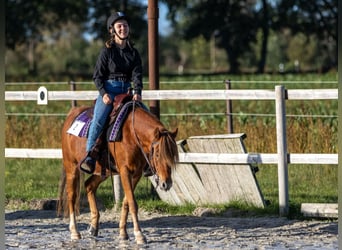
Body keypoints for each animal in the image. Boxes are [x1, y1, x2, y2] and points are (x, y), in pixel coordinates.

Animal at [57, 102, 179, 244]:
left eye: (172, 156)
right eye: (158, 154)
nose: (166, 184)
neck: (131, 133)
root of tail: (72, 114)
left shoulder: (136, 174)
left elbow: (126, 202)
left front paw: (123, 233)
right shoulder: (125, 171)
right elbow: (132, 203)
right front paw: (139, 235)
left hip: (103, 171)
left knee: (89, 185)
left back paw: (93, 227)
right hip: (71, 167)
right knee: (71, 196)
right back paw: (74, 232)